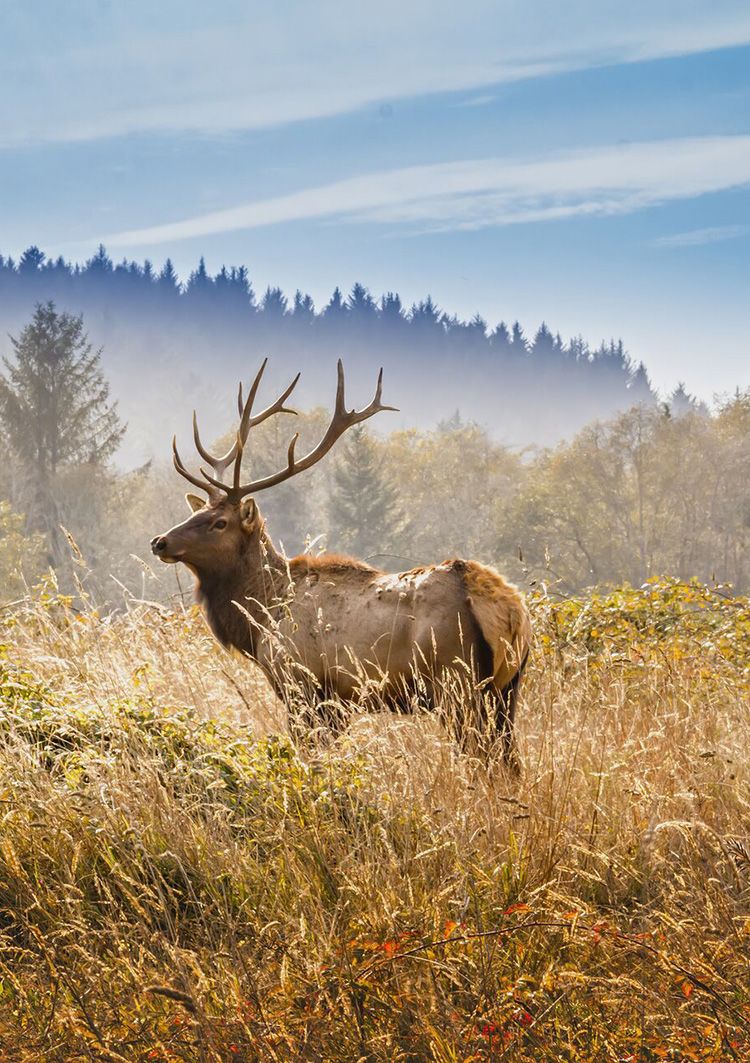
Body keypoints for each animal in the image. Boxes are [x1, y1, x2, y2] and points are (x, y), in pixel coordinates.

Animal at [150, 360, 531, 767]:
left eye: (220, 522)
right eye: (197, 512)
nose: (160, 541)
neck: (262, 616)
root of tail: (509, 608)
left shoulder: (301, 682)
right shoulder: (338, 701)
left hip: (456, 683)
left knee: (481, 757)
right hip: (508, 689)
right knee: (510, 762)